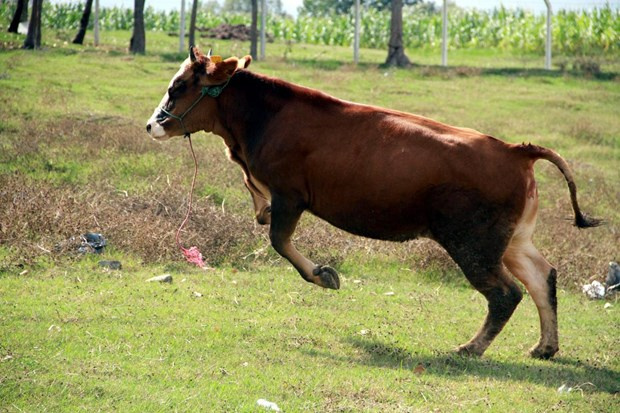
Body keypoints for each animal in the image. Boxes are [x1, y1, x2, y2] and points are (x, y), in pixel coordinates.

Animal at [147, 47, 600, 358]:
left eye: (178, 87)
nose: (152, 124)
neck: (261, 120)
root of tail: (513, 150)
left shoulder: (290, 196)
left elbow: (279, 241)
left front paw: (324, 275)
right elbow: (267, 223)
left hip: (472, 243)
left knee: (506, 293)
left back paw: (471, 348)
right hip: (512, 241)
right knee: (543, 277)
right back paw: (545, 347)